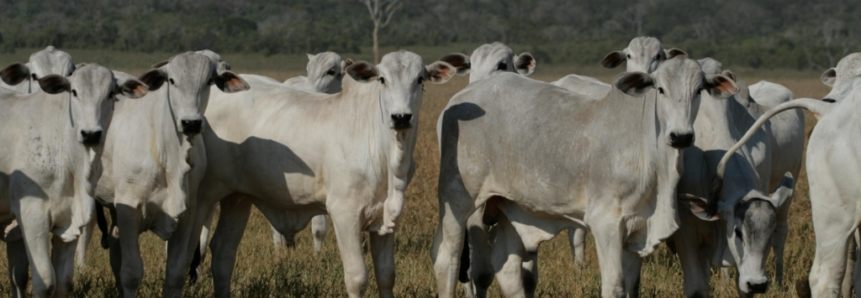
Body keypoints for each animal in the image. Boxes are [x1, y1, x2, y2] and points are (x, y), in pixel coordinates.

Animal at [0, 62, 149, 296]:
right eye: (74, 92)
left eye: (111, 94)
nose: (90, 134)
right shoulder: (32, 217)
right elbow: (45, 282)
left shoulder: (70, 222)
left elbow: (64, 282)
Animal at [93, 52, 249, 296]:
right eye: (172, 81)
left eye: (208, 81)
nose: (191, 122)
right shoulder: (129, 210)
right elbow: (131, 273)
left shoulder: (188, 215)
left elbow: (175, 274)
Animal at [181, 50, 456, 296]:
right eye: (382, 79)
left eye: (420, 79)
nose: (401, 117)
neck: (387, 153)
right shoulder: (344, 213)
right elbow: (357, 279)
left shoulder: (384, 219)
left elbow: (387, 276)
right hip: (204, 197)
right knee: (192, 249)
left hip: (237, 197)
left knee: (223, 252)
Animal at [434, 56, 736, 298]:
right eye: (660, 89)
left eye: (699, 90)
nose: (681, 136)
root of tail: (459, 98)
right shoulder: (606, 222)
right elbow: (614, 287)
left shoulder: (636, 227)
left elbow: (631, 285)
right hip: (458, 199)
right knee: (447, 261)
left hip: (511, 206)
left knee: (506, 268)